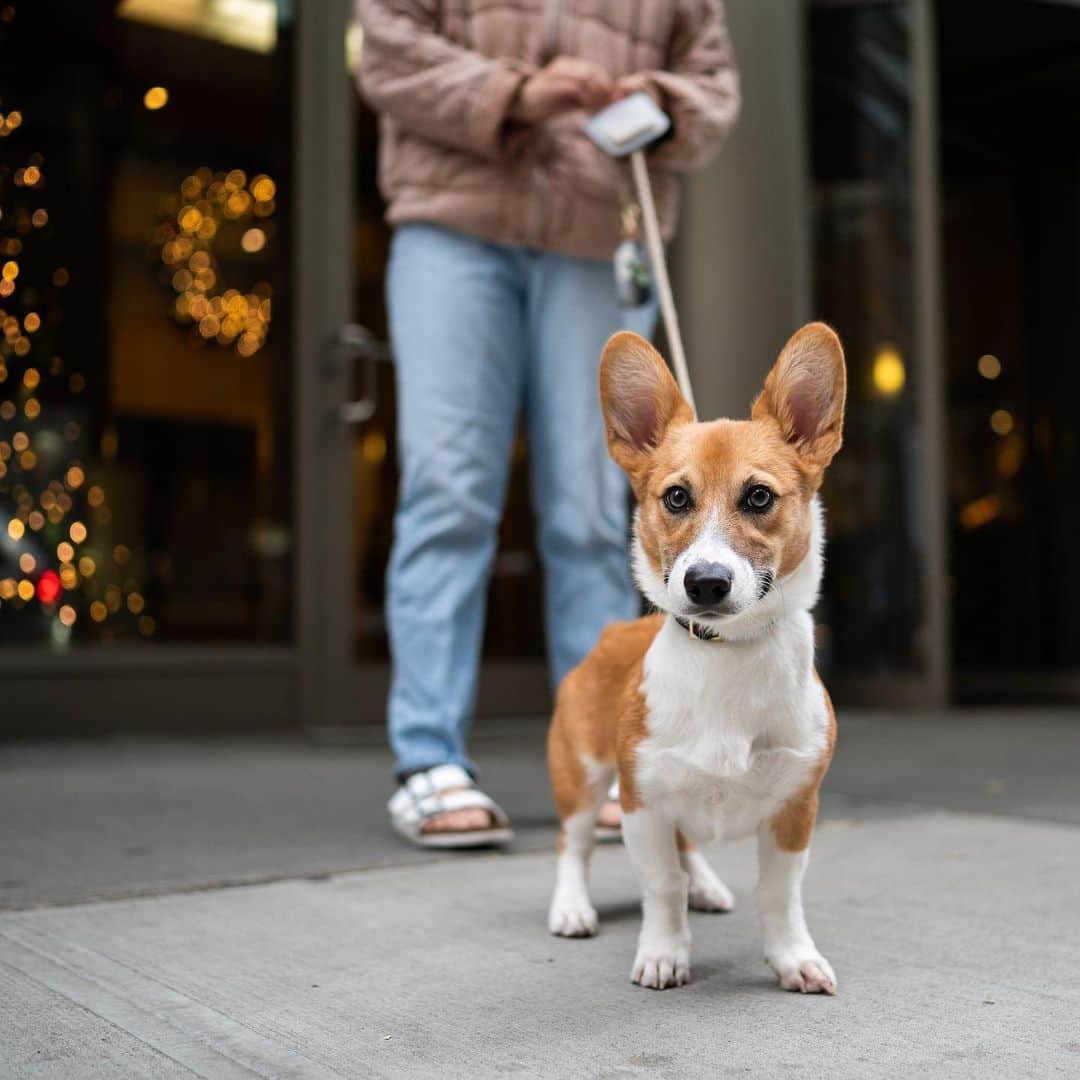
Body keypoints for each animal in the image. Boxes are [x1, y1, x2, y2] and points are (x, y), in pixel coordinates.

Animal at [548, 321, 842, 993]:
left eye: (758, 497)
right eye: (677, 498)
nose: (705, 583)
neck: (726, 656)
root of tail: (613, 630)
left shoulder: (796, 810)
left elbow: (779, 896)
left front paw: (794, 957)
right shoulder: (643, 802)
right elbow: (661, 886)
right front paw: (664, 952)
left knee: (689, 852)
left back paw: (706, 887)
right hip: (583, 775)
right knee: (573, 845)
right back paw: (572, 908)